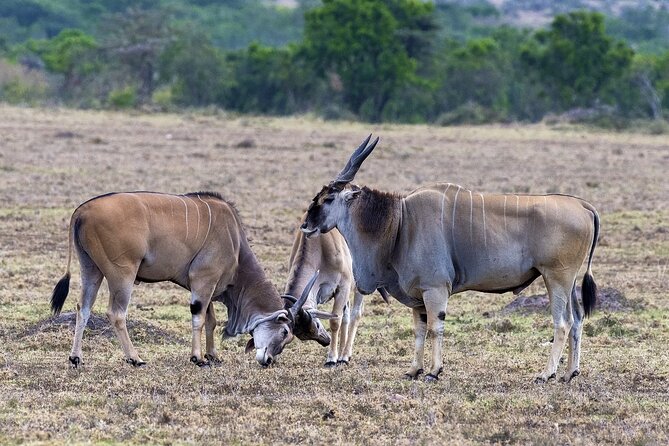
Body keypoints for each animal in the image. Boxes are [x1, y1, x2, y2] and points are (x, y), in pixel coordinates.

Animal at [50, 191, 334, 368]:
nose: (267, 361)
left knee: (83, 308)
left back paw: (75, 358)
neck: (235, 243)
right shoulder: (203, 280)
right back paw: (135, 358)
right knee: (116, 313)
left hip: (91, 270)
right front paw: (198, 358)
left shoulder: (208, 286)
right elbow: (198, 318)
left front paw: (213, 355)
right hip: (123, 273)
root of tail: (82, 210)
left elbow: (211, 320)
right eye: (285, 333)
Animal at [300, 135, 599, 383]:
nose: (305, 225)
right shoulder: (418, 295)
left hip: (556, 278)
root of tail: (584, 205)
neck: (401, 221)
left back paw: (546, 374)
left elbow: (435, 327)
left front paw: (434, 371)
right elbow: (419, 330)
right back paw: (570, 373)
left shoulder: (435, 289)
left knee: (563, 323)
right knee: (578, 319)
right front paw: (414, 370)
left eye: (328, 198)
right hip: (569, 282)